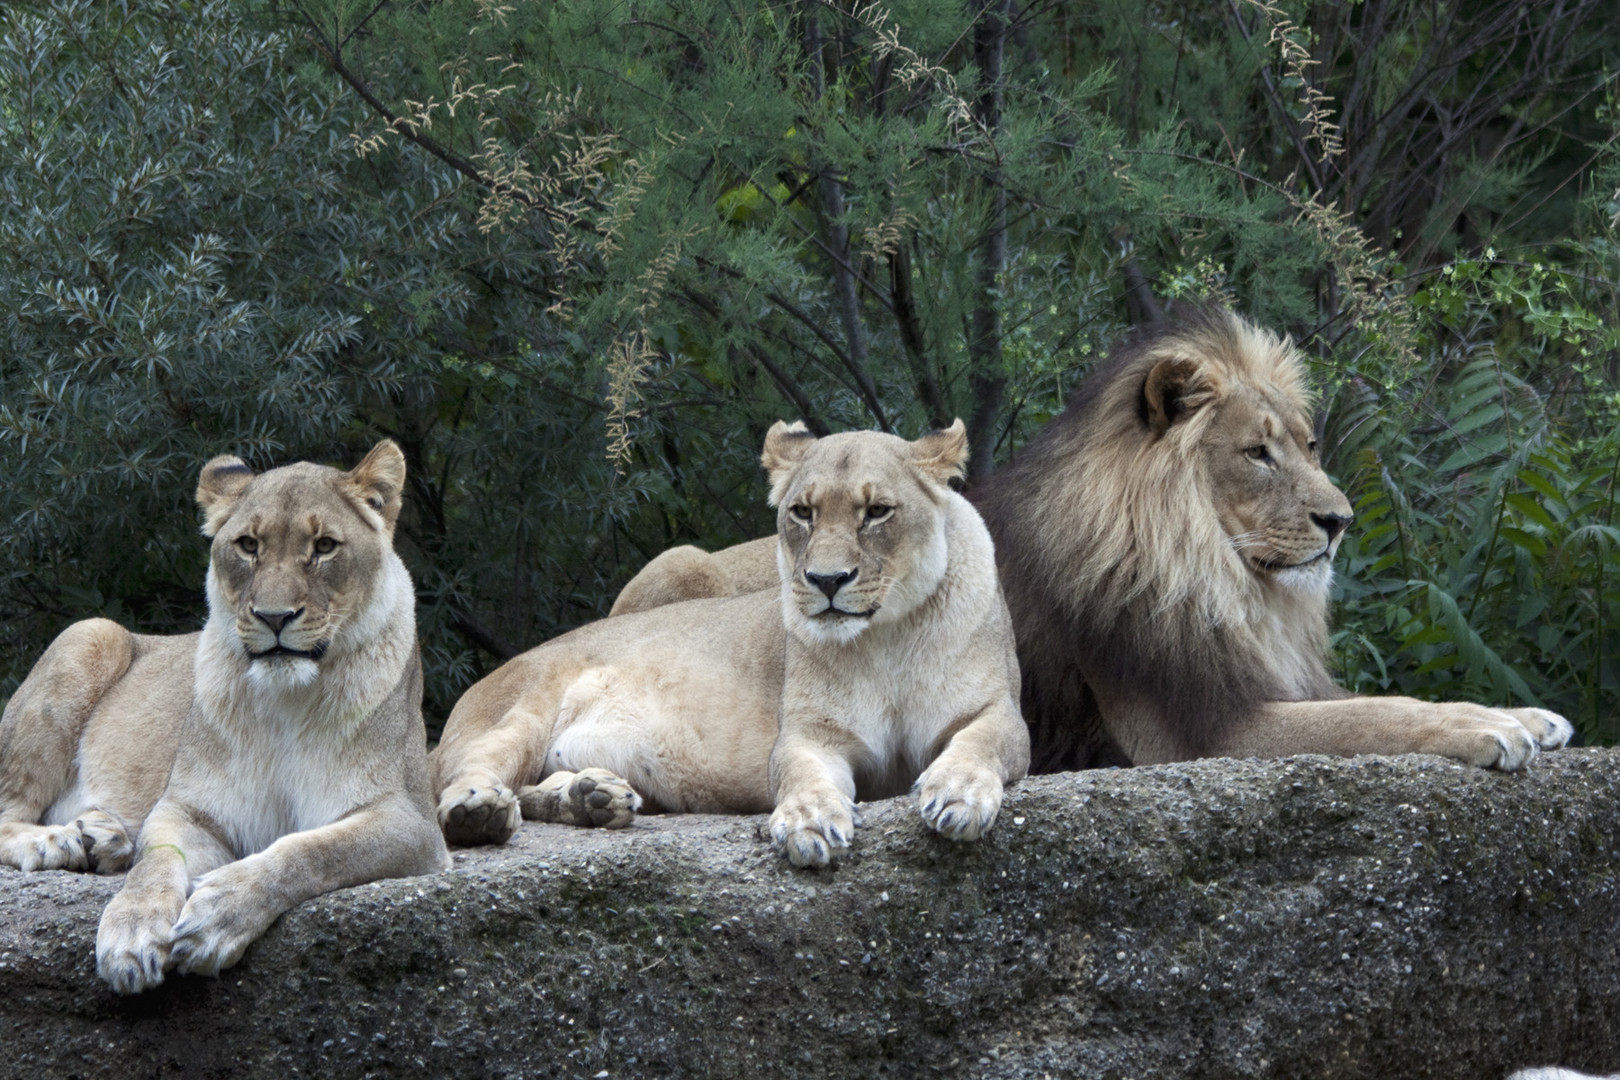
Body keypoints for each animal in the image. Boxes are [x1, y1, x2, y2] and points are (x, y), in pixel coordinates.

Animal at [0, 440, 447, 997]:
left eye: (324, 546)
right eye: (248, 545)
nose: (274, 617)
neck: (285, 702)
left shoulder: (412, 822)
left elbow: (310, 851)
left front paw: (219, 913)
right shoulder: (189, 808)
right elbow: (156, 863)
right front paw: (131, 932)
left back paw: (100, 837)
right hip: (91, 632)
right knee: (10, 809)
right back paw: (56, 842)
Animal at [427, 420, 1023, 867]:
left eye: (877, 512)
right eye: (803, 512)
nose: (827, 580)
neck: (887, 640)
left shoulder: (1001, 713)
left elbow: (980, 743)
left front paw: (959, 792)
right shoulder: (808, 734)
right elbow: (801, 775)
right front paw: (808, 821)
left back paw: (590, 797)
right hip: (521, 712)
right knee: (462, 780)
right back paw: (481, 812)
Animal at [609, 307, 1568, 773]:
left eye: (1308, 445)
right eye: (1256, 453)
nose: (1339, 521)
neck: (1225, 582)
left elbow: (1377, 701)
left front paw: (1530, 715)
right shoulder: (1197, 734)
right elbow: (1379, 715)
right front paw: (1490, 728)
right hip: (678, 562)